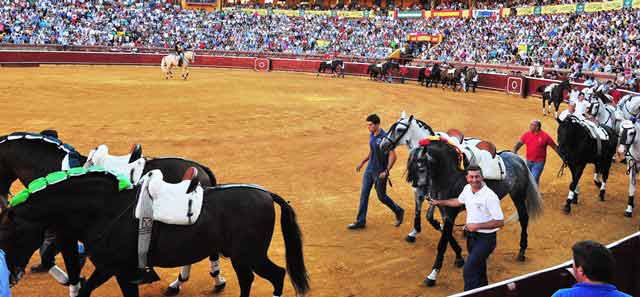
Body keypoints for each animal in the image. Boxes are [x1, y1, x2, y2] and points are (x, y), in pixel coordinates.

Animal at [0, 133, 222, 294]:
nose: (3, 203)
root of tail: (201, 168)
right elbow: (50, 258)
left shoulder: (63, 234)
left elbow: (54, 261)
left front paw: (72, 279)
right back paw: (182, 283)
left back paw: (206, 281)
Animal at [0, 171, 310, 296]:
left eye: (10, 234)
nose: (12, 275)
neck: (105, 208)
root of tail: (265, 194)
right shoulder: (114, 270)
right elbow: (86, 290)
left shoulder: (118, 270)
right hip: (240, 256)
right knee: (248, 280)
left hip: (251, 254)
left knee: (277, 275)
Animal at [408, 138, 544, 286]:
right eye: (411, 167)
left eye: (421, 168)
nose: (418, 191)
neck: (449, 176)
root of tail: (518, 158)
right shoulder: (441, 208)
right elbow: (438, 225)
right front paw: (459, 256)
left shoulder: (450, 213)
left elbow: (442, 243)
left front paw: (432, 275)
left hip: (517, 195)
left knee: (524, 218)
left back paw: (522, 251)